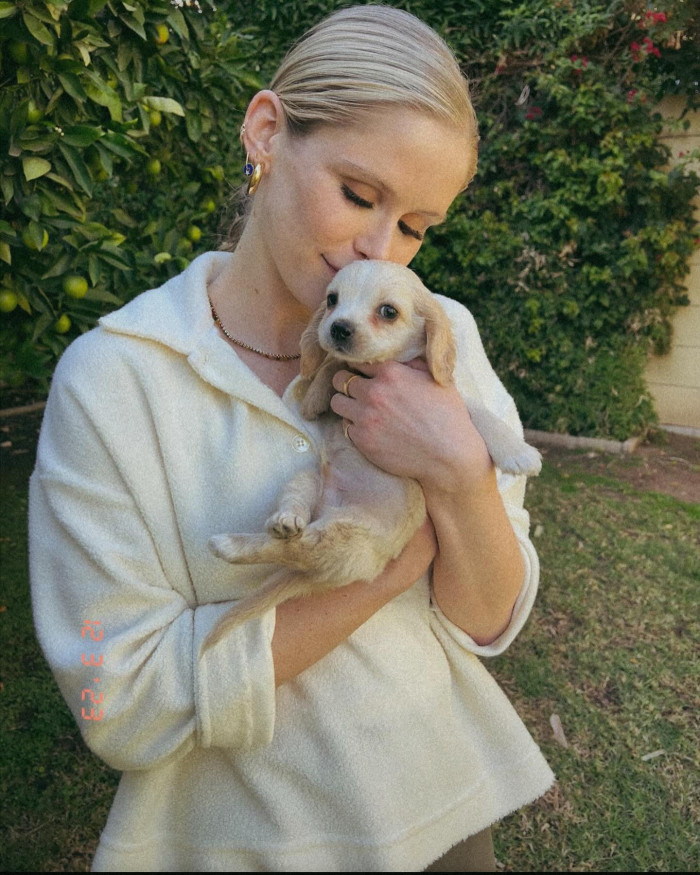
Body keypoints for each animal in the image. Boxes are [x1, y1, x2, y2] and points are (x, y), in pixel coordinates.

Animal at [204, 260, 540, 652]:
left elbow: (477, 412)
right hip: (312, 487)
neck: (376, 368)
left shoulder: (444, 394)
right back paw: (271, 525)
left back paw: (247, 538)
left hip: (348, 536)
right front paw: (315, 395)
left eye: (388, 312)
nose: (337, 327)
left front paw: (518, 451)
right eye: (332, 300)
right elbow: (332, 365)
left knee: (297, 547)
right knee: (293, 535)